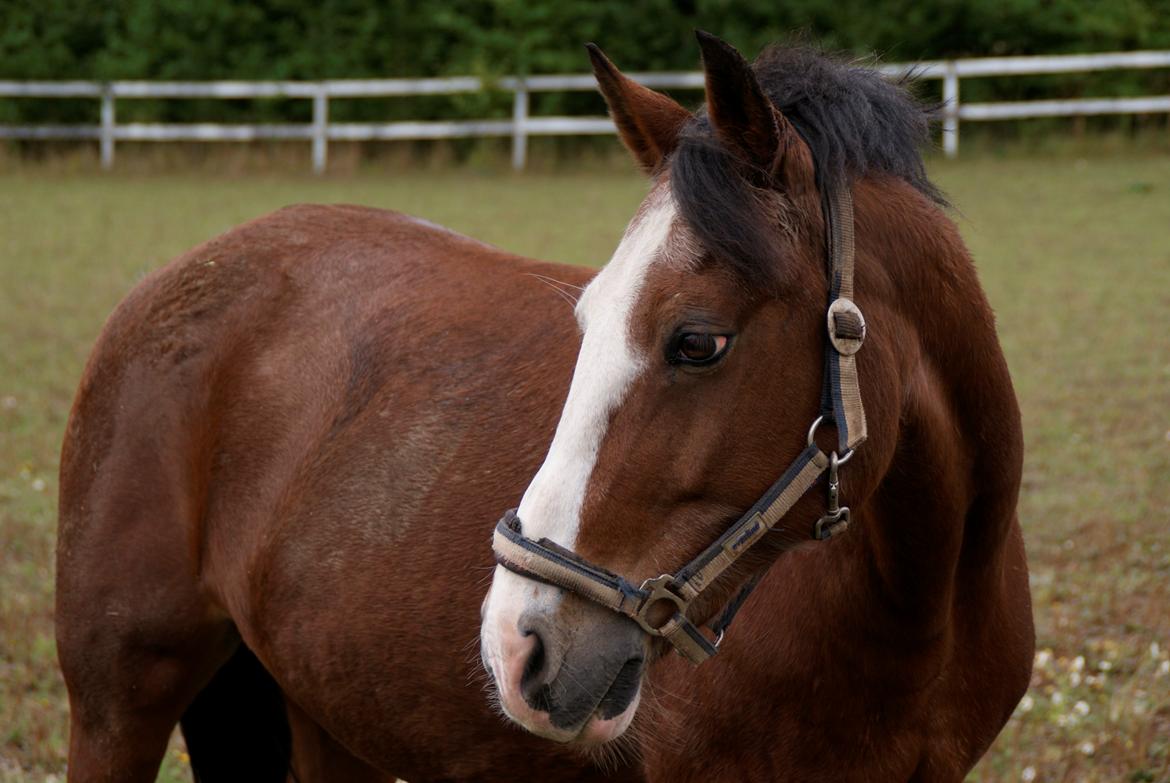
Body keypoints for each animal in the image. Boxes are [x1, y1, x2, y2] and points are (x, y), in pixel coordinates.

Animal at [52, 33, 1034, 781]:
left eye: (697, 341)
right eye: (586, 317)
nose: (516, 644)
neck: (918, 608)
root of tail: (178, 277)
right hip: (117, 708)